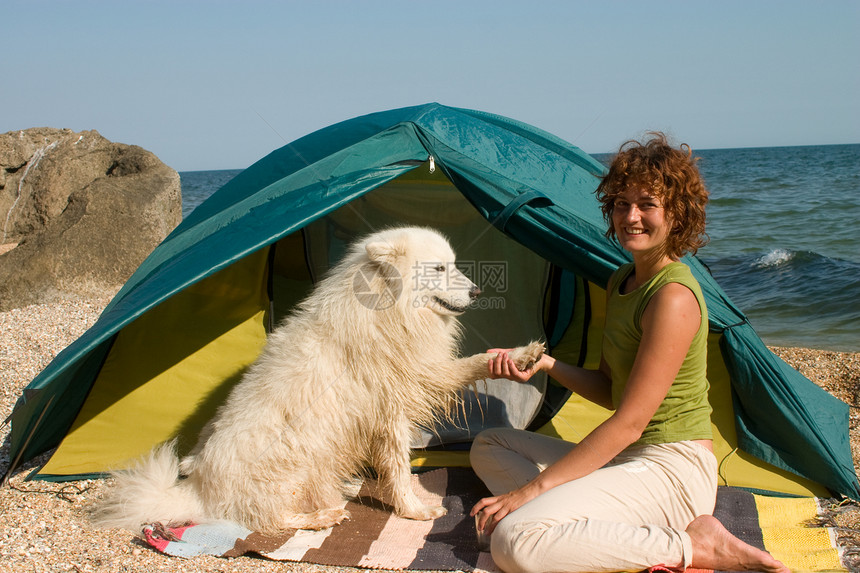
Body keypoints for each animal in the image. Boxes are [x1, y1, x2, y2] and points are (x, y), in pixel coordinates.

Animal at [94, 226, 544, 536]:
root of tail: (197, 490)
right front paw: (414, 510)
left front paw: (520, 356)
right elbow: (402, 467)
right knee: (269, 520)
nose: (478, 290)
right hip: (295, 460)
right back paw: (322, 515)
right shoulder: (398, 404)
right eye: (438, 268)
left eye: (453, 265)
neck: (385, 310)